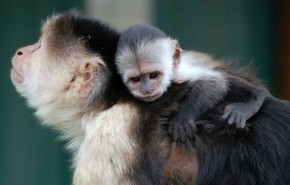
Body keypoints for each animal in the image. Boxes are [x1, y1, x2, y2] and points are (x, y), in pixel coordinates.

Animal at [115, 23, 268, 143]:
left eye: (153, 75)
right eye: (136, 79)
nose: (147, 90)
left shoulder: (179, 74)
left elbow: (216, 83)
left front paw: (184, 116)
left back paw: (256, 97)